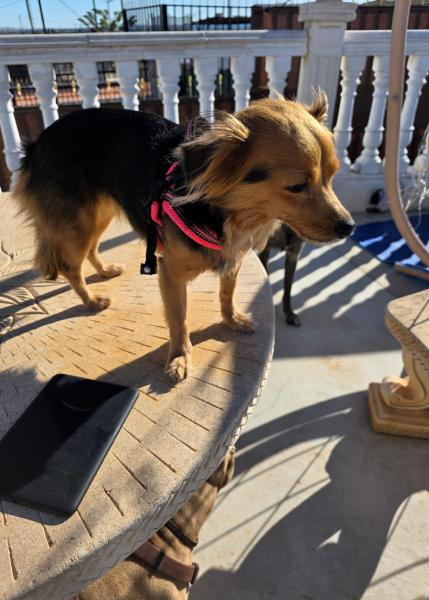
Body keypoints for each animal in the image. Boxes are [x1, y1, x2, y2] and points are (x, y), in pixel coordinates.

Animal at [13, 94, 355, 382]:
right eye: (296, 186)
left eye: (332, 177)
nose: (349, 227)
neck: (229, 214)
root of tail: (38, 142)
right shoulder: (170, 274)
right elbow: (179, 321)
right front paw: (179, 358)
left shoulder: (234, 258)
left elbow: (227, 293)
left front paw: (231, 320)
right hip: (81, 220)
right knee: (71, 265)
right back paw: (91, 300)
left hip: (101, 210)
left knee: (92, 249)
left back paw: (104, 271)